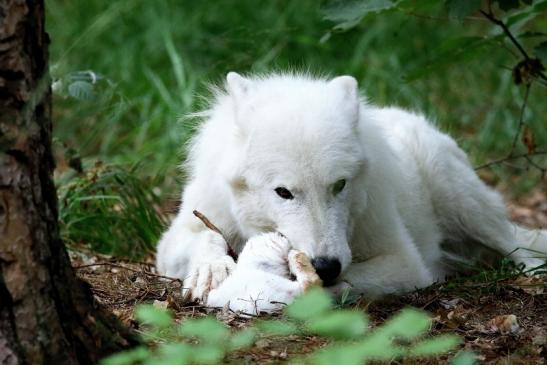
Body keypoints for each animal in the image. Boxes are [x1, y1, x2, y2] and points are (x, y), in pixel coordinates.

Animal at [155, 71, 547, 304]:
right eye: (284, 192)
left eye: (339, 185)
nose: (326, 265)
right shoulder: (176, 237)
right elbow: (206, 237)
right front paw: (211, 269)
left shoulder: (405, 262)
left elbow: (349, 282)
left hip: (461, 200)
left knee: (518, 247)